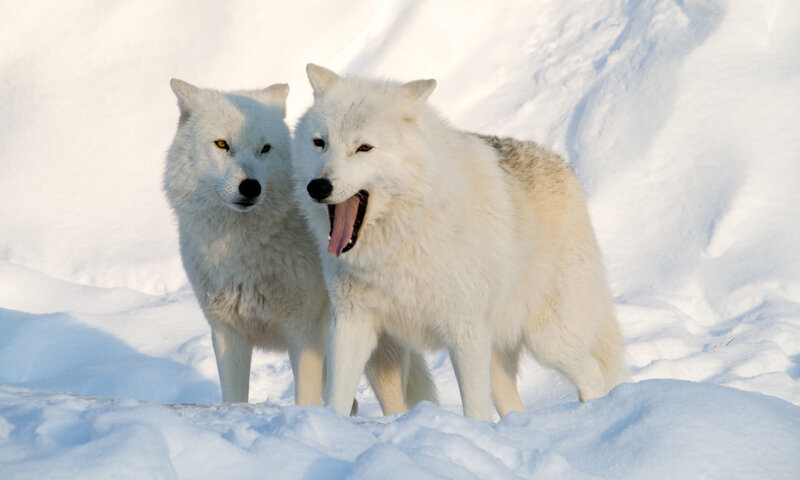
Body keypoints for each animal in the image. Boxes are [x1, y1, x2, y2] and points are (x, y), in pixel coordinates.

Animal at [164, 79, 436, 413]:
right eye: (222, 144)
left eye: (265, 148)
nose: (250, 186)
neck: (243, 249)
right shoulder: (228, 334)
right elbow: (234, 399)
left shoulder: (304, 333)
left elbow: (304, 400)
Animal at [291, 64, 627, 420]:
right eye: (320, 143)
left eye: (363, 148)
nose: (318, 187)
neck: (401, 240)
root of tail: (565, 167)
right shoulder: (351, 324)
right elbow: (337, 398)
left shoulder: (464, 331)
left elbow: (475, 410)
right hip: (499, 358)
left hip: (549, 340)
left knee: (593, 374)